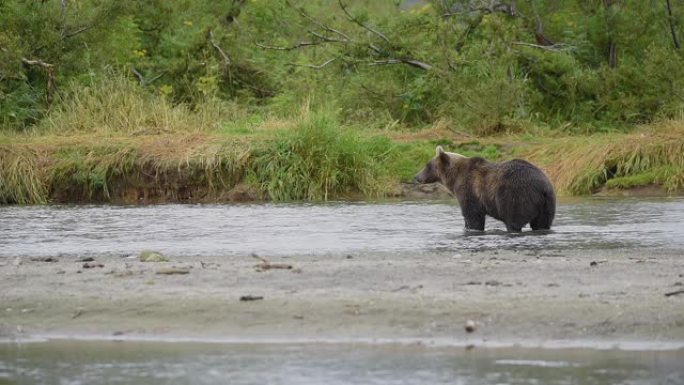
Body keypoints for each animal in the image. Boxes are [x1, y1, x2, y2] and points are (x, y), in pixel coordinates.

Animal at [412, 146, 556, 231]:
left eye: (427, 165)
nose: (417, 176)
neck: (454, 178)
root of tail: (542, 187)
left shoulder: (468, 189)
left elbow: (473, 216)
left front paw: (471, 228)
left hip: (516, 195)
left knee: (513, 220)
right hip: (547, 204)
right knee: (542, 223)